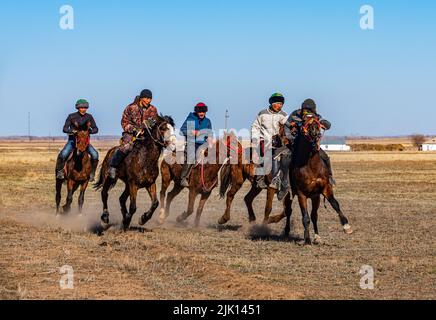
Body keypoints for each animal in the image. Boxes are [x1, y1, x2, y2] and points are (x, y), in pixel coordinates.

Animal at [270, 114, 354, 244]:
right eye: (305, 123)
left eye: (318, 121)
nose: (315, 132)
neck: (311, 166)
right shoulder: (301, 194)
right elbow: (305, 217)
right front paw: (307, 239)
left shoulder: (322, 191)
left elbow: (333, 205)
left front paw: (346, 226)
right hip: (288, 195)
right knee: (288, 211)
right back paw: (287, 231)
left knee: (312, 215)